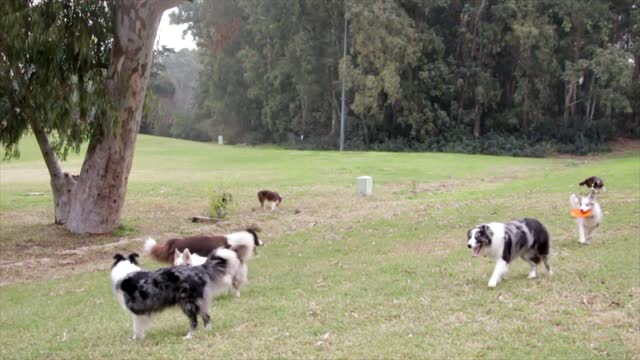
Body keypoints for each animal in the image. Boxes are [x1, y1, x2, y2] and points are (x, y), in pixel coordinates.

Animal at [111, 248, 241, 340]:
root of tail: (198, 268)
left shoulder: (138, 311)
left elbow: (137, 327)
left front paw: (135, 339)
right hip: (199, 302)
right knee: (207, 317)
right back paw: (207, 332)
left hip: (187, 303)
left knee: (194, 321)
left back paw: (189, 336)